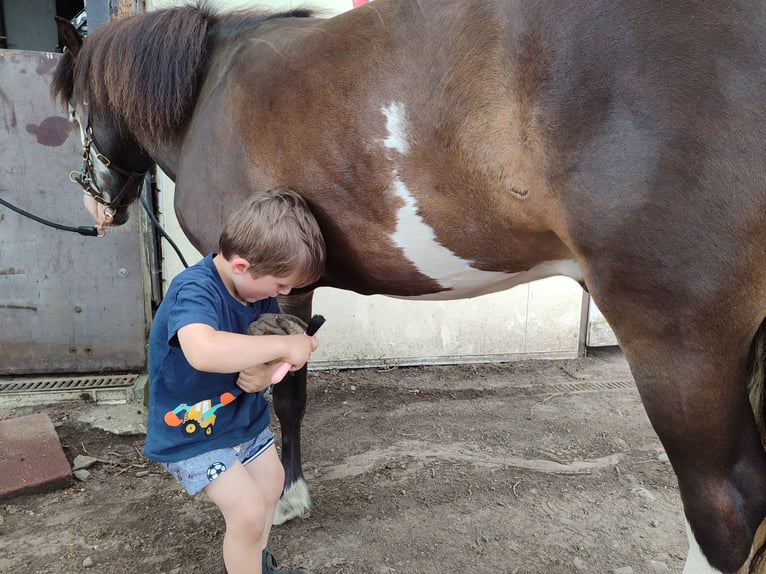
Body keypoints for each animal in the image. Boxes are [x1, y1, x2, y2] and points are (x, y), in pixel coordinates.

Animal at [51, 2, 766, 572]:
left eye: (77, 111)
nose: (96, 206)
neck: (208, 90)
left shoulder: (266, 287)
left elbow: (278, 395)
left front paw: (282, 497)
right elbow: (293, 391)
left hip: (678, 339)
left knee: (727, 503)